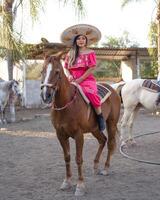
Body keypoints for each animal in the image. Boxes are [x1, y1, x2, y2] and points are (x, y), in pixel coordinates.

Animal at [40, 55, 120, 196]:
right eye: (42, 70)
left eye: (57, 72)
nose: (46, 95)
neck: (67, 104)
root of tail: (112, 89)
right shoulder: (60, 135)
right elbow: (67, 157)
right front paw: (66, 182)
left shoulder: (78, 135)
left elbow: (78, 159)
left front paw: (80, 186)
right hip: (95, 129)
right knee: (102, 140)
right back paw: (95, 165)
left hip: (111, 124)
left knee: (110, 143)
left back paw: (105, 168)